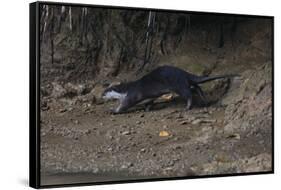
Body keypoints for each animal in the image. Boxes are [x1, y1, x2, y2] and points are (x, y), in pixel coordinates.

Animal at [102, 65, 234, 113]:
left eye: (105, 92)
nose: (101, 95)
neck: (126, 90)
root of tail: (184, 73)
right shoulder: (150, 97)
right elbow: (149, 102)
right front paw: (147, 109)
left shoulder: (131, 95)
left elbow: (125, 105)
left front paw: (113, 111)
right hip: (184, 83)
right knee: (195, 87)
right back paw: (204, 100)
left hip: (178, 85)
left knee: (189, 94)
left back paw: (187, 107)